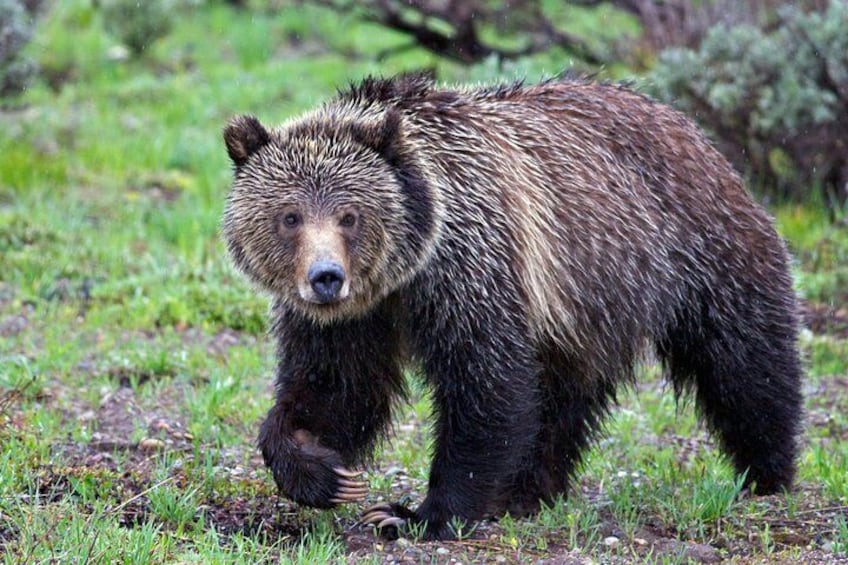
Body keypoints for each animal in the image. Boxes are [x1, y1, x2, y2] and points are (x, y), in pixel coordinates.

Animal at [222, 72, 804, 540]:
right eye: (290, 216)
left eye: (349, 215)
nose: (326, 278)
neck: (404, 273)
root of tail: (689, 125)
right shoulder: (353, 318)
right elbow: (337, 386)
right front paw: (323, 471)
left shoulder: (473, 265)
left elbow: (486, 383)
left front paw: (417, 515)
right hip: (584, 309)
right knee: (564, 398)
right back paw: (529, 490)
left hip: (696, 248)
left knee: (743, 361)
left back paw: (767, 471)